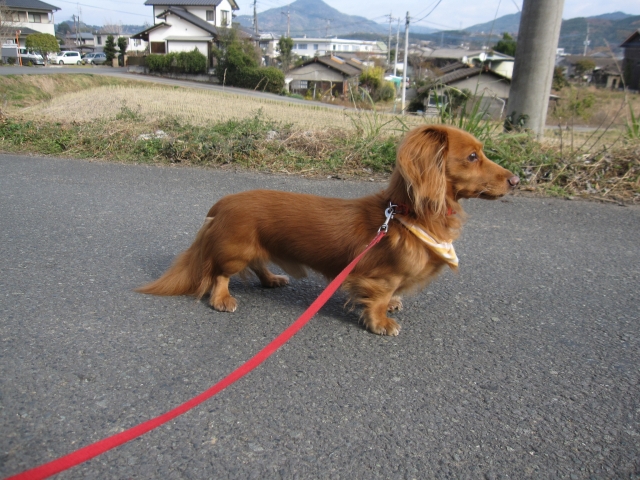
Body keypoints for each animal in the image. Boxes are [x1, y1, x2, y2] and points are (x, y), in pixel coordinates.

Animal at [138, 125, 516, 336]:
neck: (408, 217)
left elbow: (393, 295)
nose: (515, 180)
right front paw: (380, 322)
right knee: (220, 274)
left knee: (259, 264)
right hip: (235, 251)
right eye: (472, 157)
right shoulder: (379, 276)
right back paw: (222, 299)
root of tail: (222, 204)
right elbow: (379, 297)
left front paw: (394, 305)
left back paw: (272, 279)